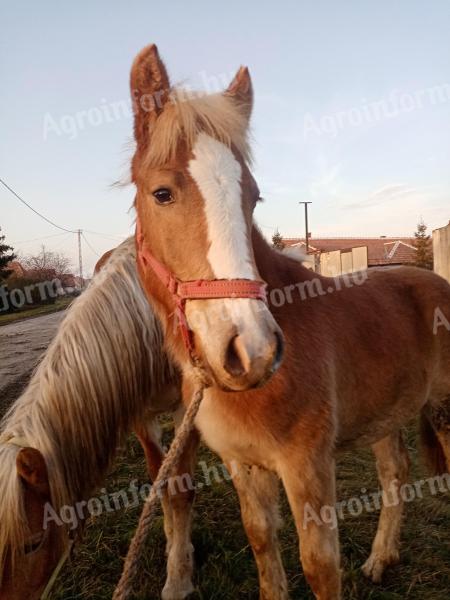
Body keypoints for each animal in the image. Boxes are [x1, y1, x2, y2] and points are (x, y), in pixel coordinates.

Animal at [0, 239, 199, 600]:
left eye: (31, 545)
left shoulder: (186, 408)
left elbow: (181, 488)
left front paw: (178, 579)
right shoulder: (140, 415)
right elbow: (160, 481)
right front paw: (173, 547)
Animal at [128, 43, 450, 600]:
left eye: (252, 196)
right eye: (162, 193)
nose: (252, 351)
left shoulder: (307, 466)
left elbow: (319, 566)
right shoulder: (244, 465)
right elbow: (262, 542)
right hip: (387, 414)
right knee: (396, 472)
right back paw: (380, 559)